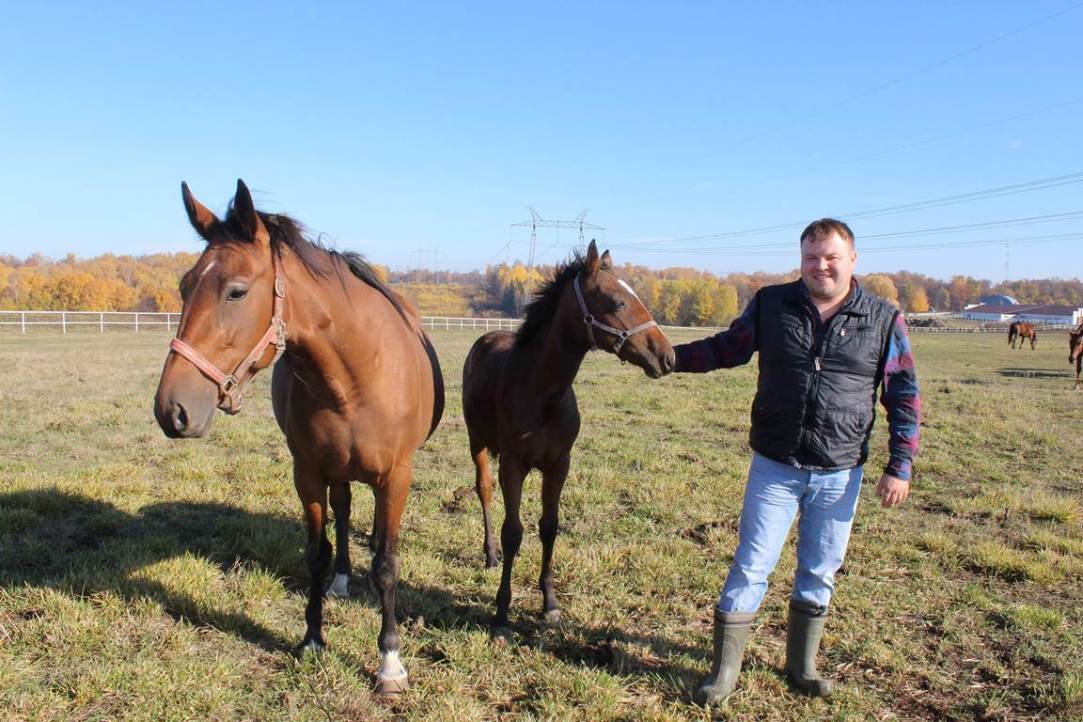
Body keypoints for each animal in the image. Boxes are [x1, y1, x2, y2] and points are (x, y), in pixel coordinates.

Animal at [153, 180, 444, 692]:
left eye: (236, 291)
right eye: (185, 286)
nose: (172, 410)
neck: (354, 376)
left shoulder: (396, 477)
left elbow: (387, 566)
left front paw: (390, 662)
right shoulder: (307, 474)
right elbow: (316, 554)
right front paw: (312, 639)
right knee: (343, 511)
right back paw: (343, 580)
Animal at [461, 241, 671, 632]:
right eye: (617, 302)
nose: (668, 356)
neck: (543, 392)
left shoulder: (559, 464)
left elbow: (549, 527)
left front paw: (550, 602)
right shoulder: (513, 464)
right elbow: (513, 531)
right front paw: (502, 612)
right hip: (477, 442)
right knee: (484, 490)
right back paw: (490, 554)